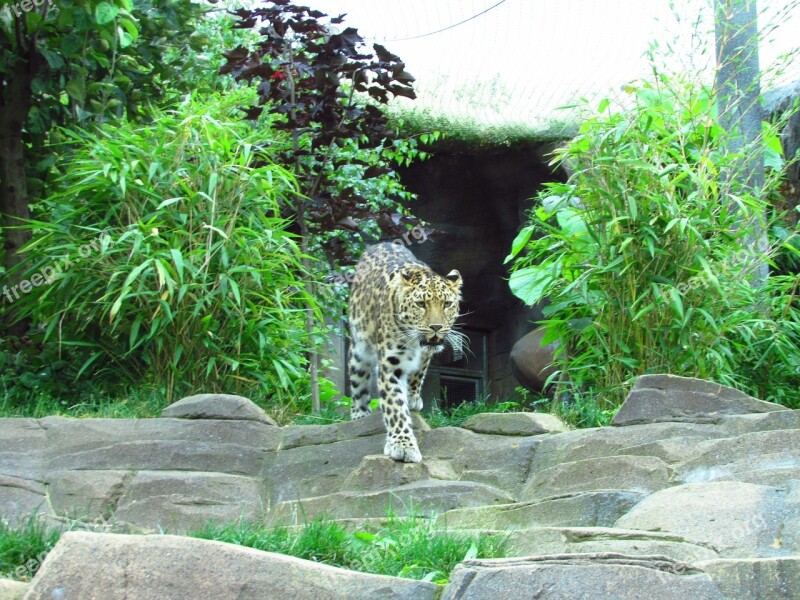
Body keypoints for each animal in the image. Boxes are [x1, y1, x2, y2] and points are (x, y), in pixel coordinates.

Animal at [348, 243, 462, 464]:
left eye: (447, 304)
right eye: (421, 304)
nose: (436, 327)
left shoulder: (425, 355)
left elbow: (418, 374)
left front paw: (412, 396)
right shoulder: (389, 364)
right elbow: (395, 406)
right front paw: (402, 445)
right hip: (358, 348)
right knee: (358, 380)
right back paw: (359, 414)